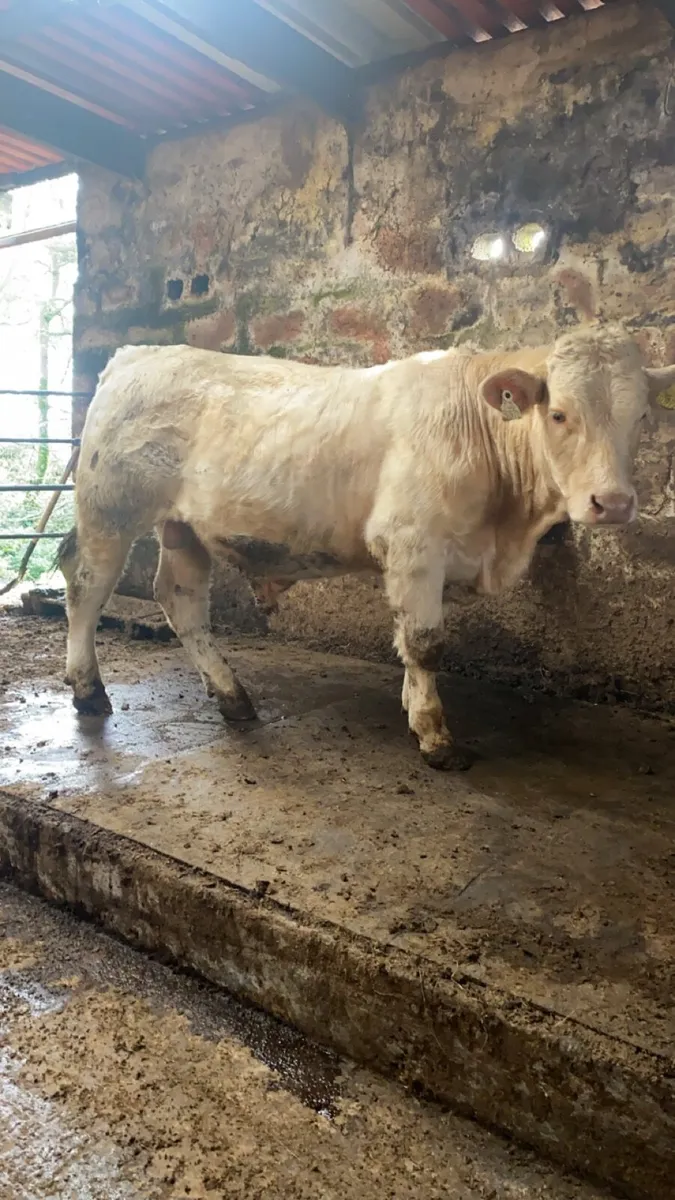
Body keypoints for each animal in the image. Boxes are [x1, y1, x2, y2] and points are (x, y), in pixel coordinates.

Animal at [58, 325, 675, 769]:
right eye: (559, 413)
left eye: (642, 416)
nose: (612, 503)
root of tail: (135, 354)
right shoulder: (413, 541)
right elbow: (426, 642)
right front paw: (434, 735)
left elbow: (408, 636)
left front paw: (410, 704)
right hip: (110, 506)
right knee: (87, 583)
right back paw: (88, 689)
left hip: (182, 526)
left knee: (181, 599)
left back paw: (233, 697)